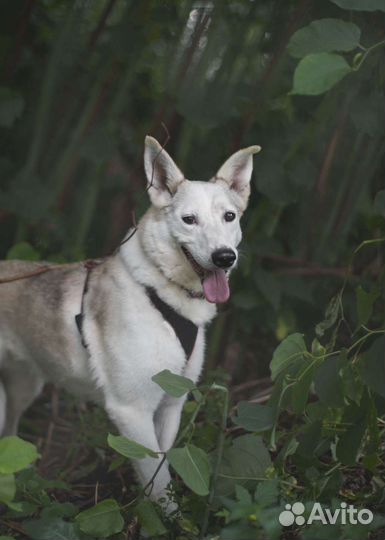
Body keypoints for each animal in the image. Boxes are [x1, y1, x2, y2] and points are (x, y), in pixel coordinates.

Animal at [0, 135, 260, 506]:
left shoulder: (171, 405)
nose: (224, 257)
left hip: (23, 387)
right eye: (189, 219)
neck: (161, 293)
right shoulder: (132, 411)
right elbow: (159, 482)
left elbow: (162, 468)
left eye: (229, 217)